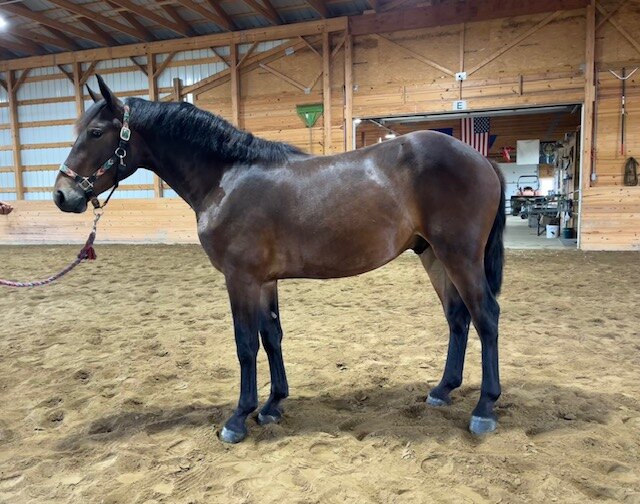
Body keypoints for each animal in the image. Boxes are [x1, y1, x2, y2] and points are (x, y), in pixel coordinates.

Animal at [53, 76, 504, 444]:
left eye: (95, 132)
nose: (61, 194)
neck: (227, 177)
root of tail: (480, 159)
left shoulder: (240, 278)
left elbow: (245, 343)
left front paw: (238, 417)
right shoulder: (264, 280)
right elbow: (271, 336)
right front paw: (272, 406)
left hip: (459, 255)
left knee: (485, 316)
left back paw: (484, 408)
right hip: (434, 256)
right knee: (457, 318)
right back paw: (443, 390)